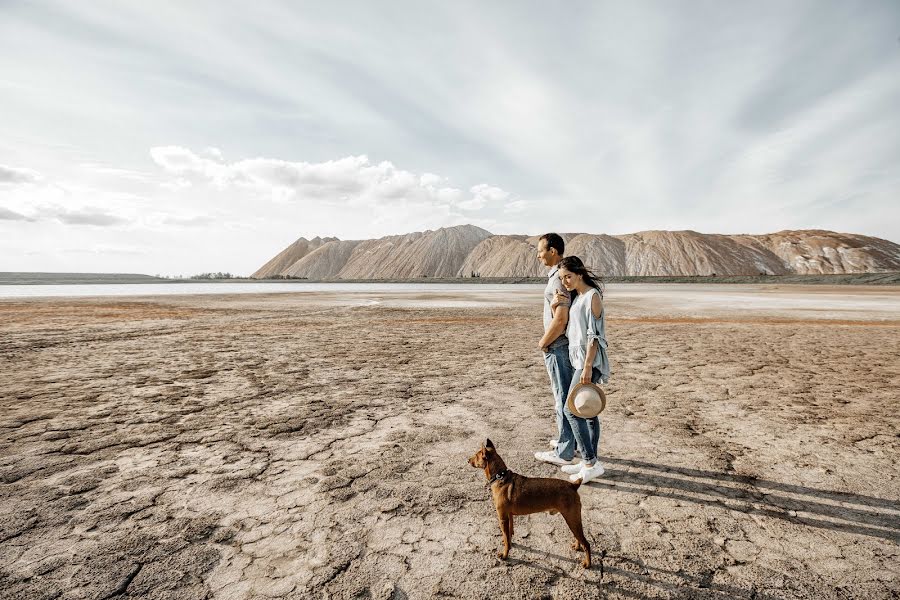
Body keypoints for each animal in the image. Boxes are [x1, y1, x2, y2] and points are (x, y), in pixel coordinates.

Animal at [472, 436, 592, 568]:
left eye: (476, 455)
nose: (468, 460)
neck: (500, 476)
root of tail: (573, 485)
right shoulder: (509, 516)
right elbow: (508, 534)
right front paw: (507, 541)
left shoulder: (502, 518)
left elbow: (506, 536)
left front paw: (505, 554)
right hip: (573, 520)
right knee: (579, 537)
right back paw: (576, 546)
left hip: (571, 518)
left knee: (586, 543)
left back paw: (587, 563)